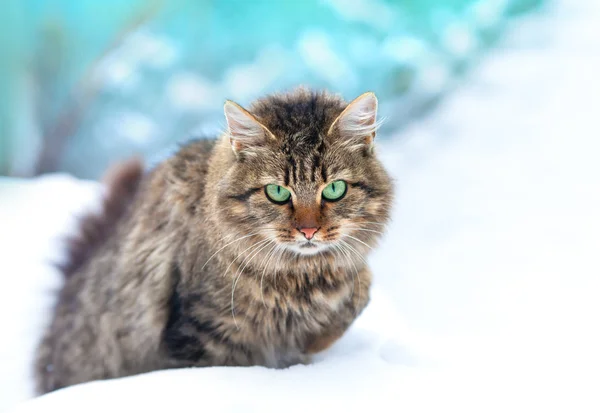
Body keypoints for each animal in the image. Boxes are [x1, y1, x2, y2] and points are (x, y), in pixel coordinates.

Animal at [34, 87, 394, 392]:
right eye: (277, 192)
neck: (301, 278)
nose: (308, 231)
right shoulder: (201, 334)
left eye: (334, 189)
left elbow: (361, 289)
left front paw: (314, 339)